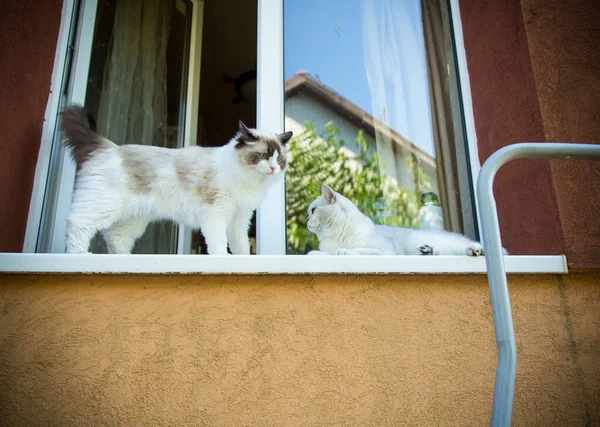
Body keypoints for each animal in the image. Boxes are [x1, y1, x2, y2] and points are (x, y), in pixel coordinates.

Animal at [61, 105, 292, 256]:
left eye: (279, 159)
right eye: (263, 156)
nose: (274, 168)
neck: (246, 179)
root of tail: (109, 147)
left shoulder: (239, 219)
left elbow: (240, 247)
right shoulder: (216, 212)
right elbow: (218, 243)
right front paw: (223, 259)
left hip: (134, 219)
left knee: (115, 238)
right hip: (105, 205)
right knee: (77, 223)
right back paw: (80, 256)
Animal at [304, 185, 496, 258]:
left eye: (313, 210)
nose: (306, 219)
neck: (336, 235)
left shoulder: (384, 250)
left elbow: (356, 251)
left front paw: (342, 252)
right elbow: (325, 254)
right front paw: (315, 254)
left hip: (416, 240)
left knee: (461, 246)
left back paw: (475, 250)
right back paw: (426, 251)